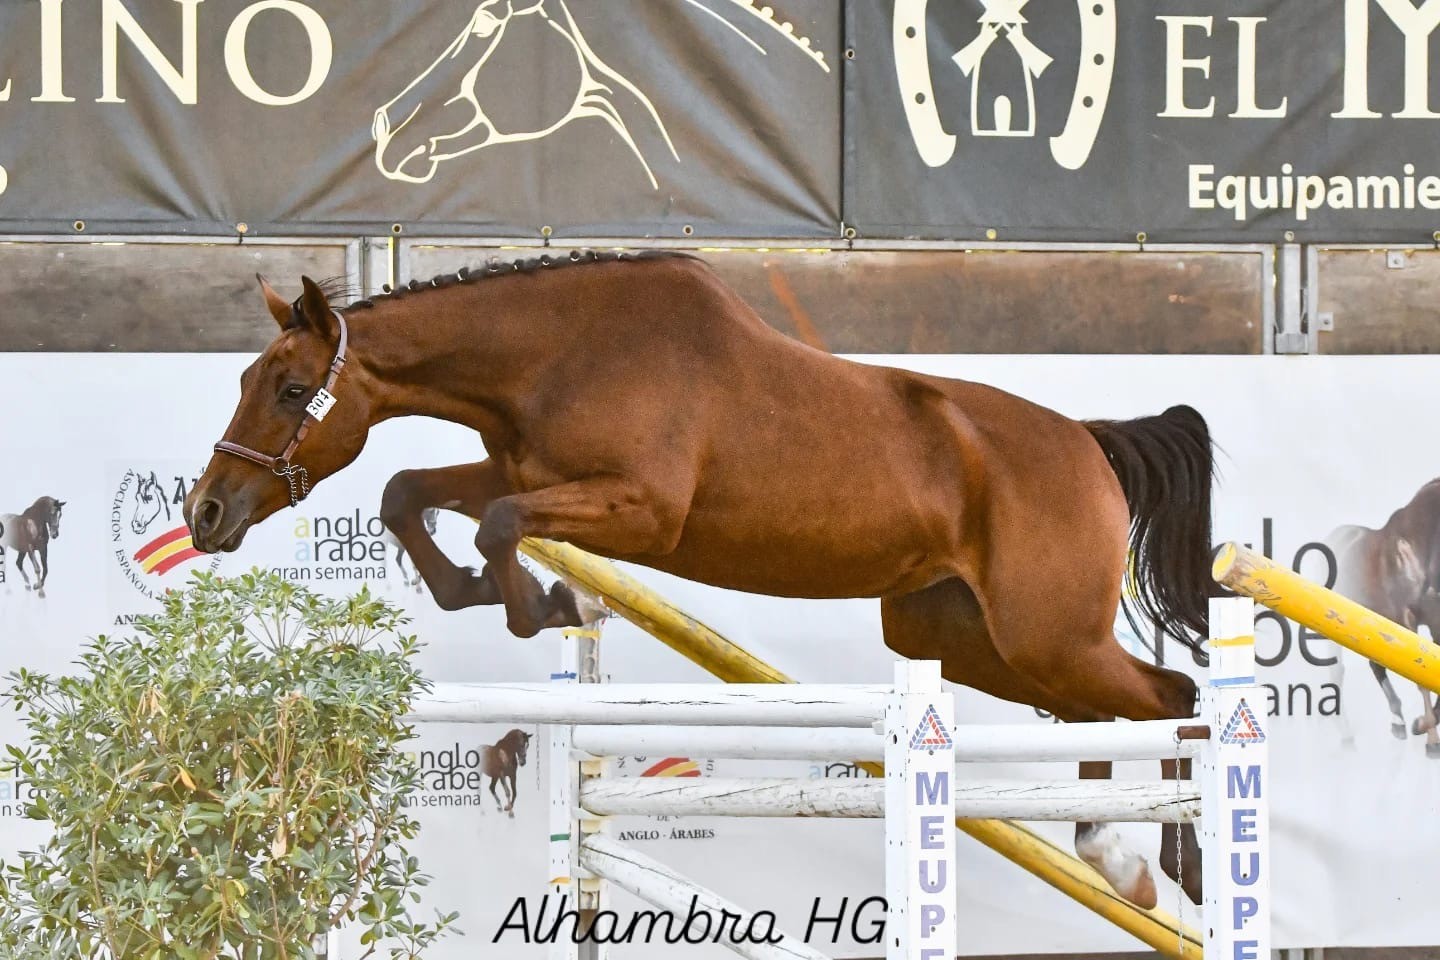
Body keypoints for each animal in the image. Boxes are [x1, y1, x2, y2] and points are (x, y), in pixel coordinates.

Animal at [184, 252, 1218, 908]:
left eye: (290, 390)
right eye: (243, 381)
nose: (206, 515)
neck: (558, 352)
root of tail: (1088, 442)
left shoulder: (641, 508)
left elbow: (499, 524)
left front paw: (544, 603)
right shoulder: (520, 466)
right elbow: (412, 493)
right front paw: (499, 594)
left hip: (1047, 634)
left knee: (1176, 697)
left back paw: (1177, 861)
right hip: (960, 638)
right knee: (1104, 711)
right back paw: (1109, 850)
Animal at [1326, 479, 1440, 757]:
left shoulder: (1436, 622)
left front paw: (1419, 725)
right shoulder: (1409, 620)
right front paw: (1431, 740)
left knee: (1376, 665)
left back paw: (1398, 723)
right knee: (1337, 671)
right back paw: (1347, 735)